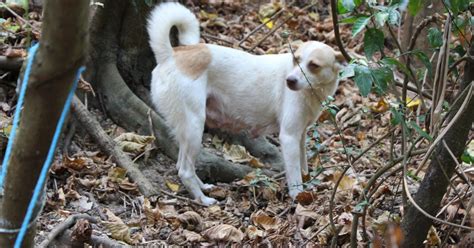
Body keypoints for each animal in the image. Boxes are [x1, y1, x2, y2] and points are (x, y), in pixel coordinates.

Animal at [146, 3, 338, 205]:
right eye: (296, 60)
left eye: (314, 65)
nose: (290, 81)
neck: (311, 92)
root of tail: (170, 55)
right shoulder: (289, 137)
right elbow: (295, 176)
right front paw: (298, 197)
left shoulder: (300, 135)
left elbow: (303, 166)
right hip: (194, 127)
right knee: (184, 170)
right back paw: (203, 200)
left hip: (187, 131)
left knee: (181, 164)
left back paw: (204, 187)